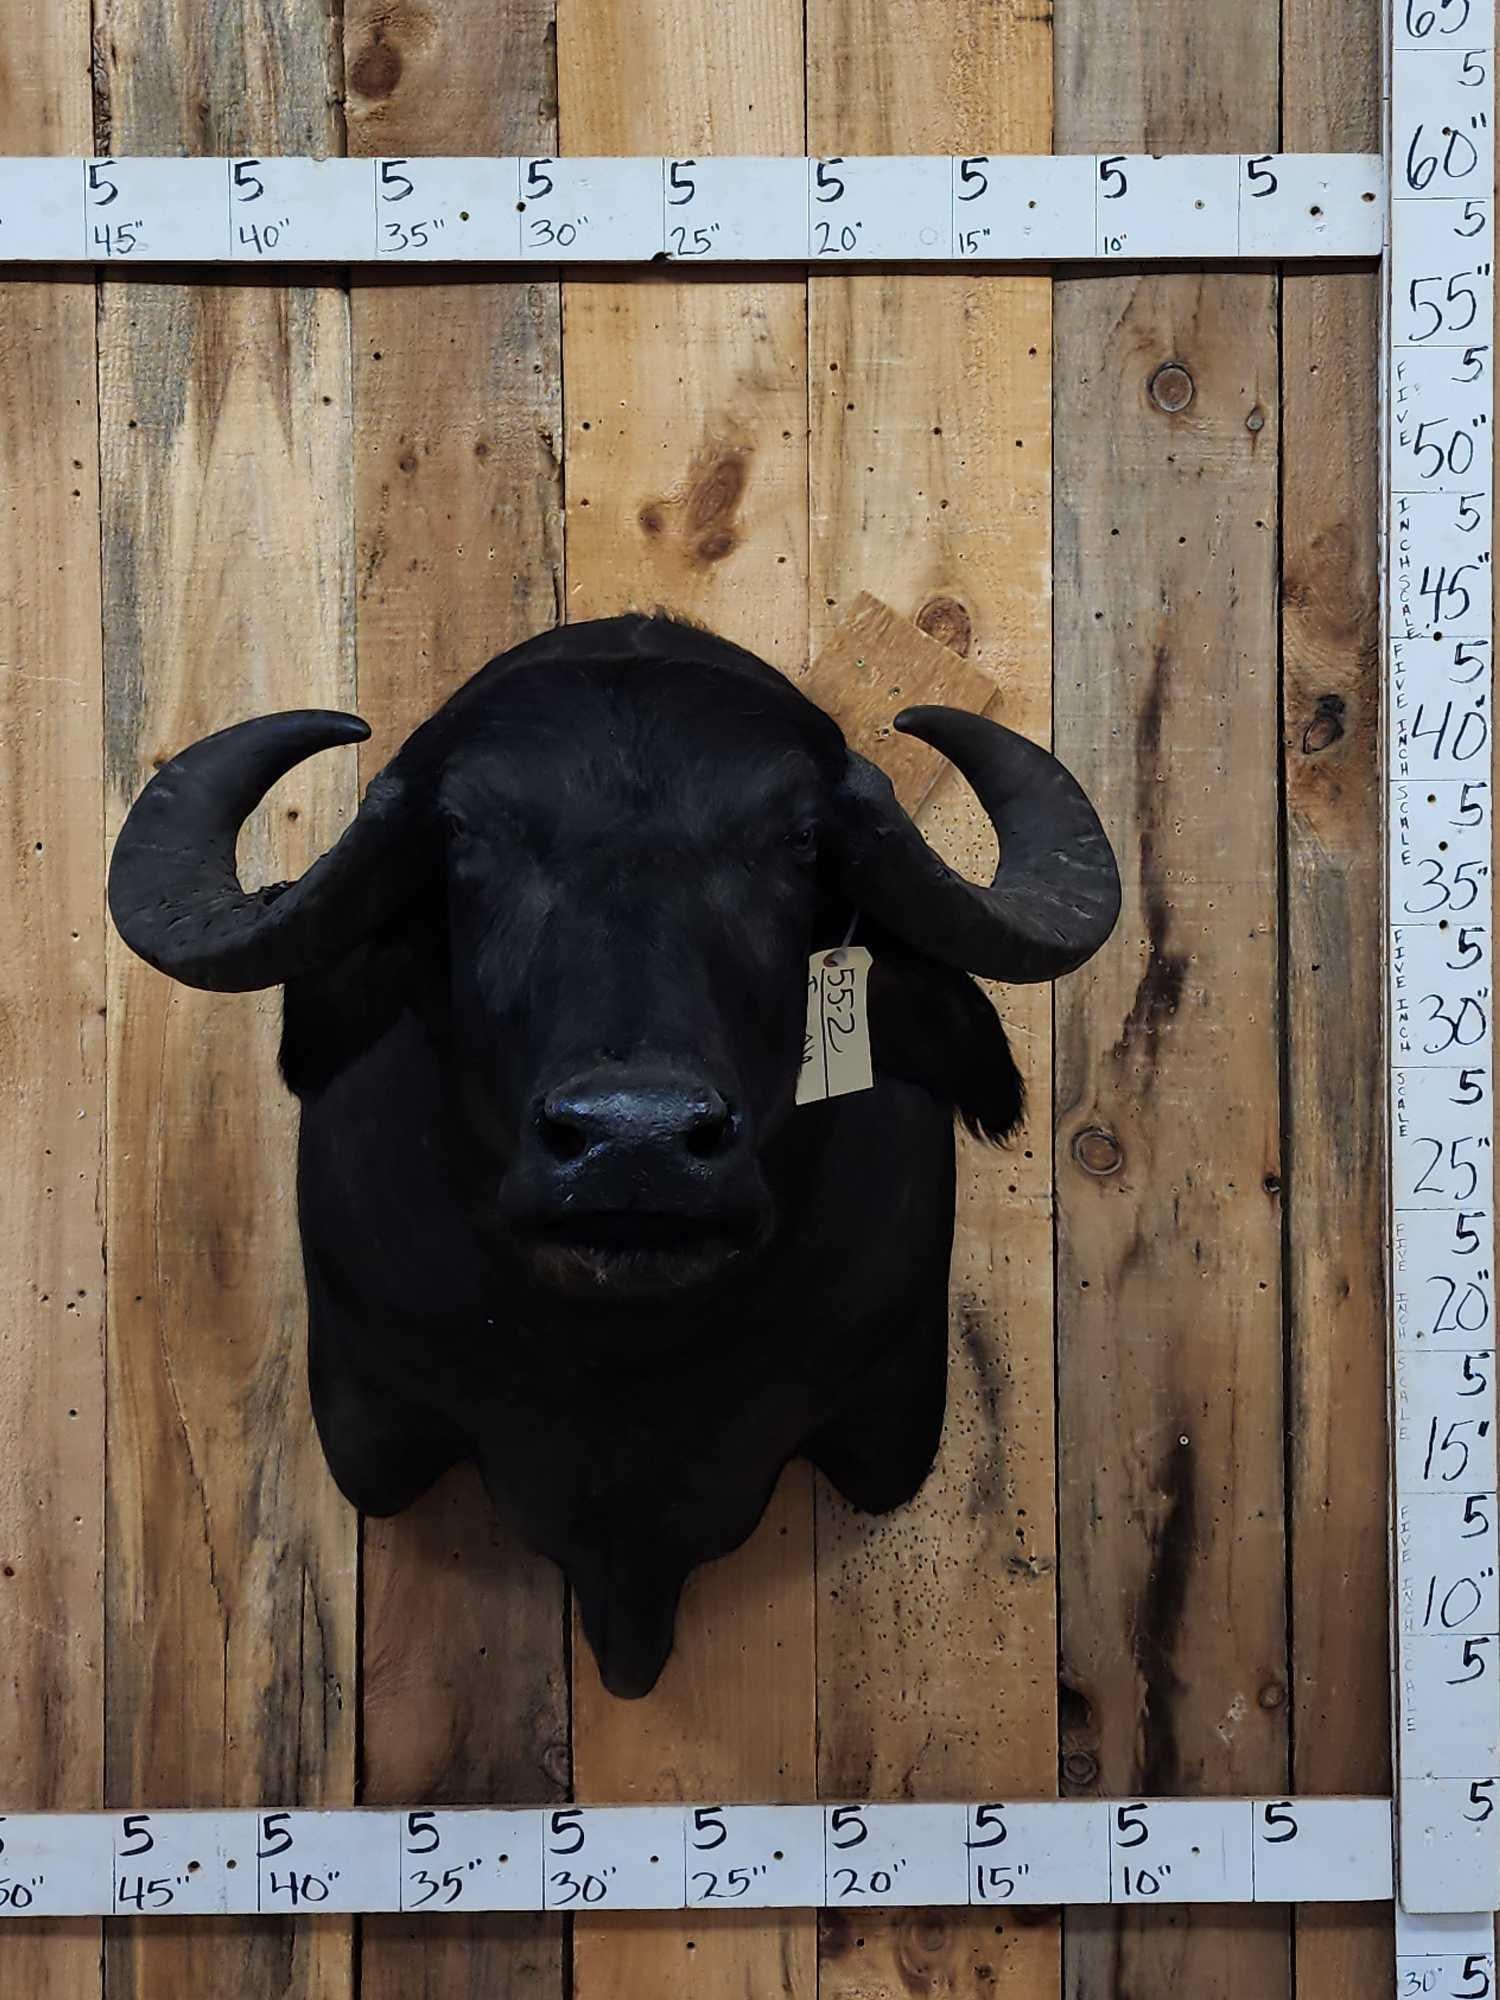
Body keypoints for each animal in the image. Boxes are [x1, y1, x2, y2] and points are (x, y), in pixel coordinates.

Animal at [107, 611, 1119, 1697]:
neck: (623, 1374)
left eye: (801, 838)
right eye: (461, 833)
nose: (637, 1143)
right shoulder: (367, 1419)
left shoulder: (890, 1411)